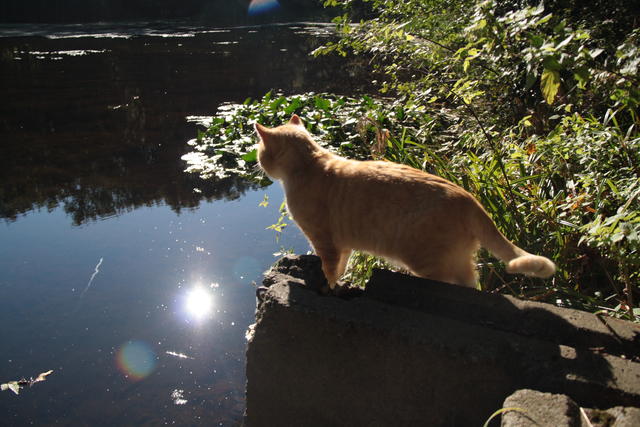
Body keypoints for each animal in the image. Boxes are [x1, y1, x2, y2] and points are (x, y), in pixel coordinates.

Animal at [255, 115, 556, 290]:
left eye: (259, 153)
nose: (259, 164)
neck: (310, 163)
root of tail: (469, 198)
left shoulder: (324, 241)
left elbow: (330, 270)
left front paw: (329, 288)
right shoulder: (344, 246)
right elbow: (342, 267)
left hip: (430, 263)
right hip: (460, 262)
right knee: (472, 285)